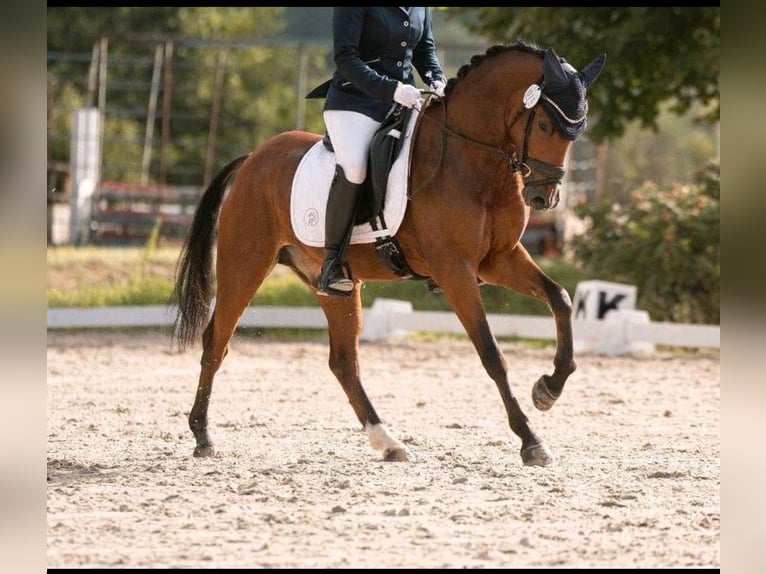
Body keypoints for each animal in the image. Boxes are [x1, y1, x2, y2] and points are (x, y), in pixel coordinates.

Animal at [172, 44, 608, 468]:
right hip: (245, 264)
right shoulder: (455, 270)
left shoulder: (499, 259)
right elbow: (492, 354)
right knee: (216, 341)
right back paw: (203, 436)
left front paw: (548, 388)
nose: (545, 199)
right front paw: (531, 441)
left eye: (579, 130)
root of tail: (252, 159)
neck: (473, 162)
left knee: (343, 362)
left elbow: (560, 298)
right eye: (546, 125)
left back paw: (387, 442)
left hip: (335, 286)